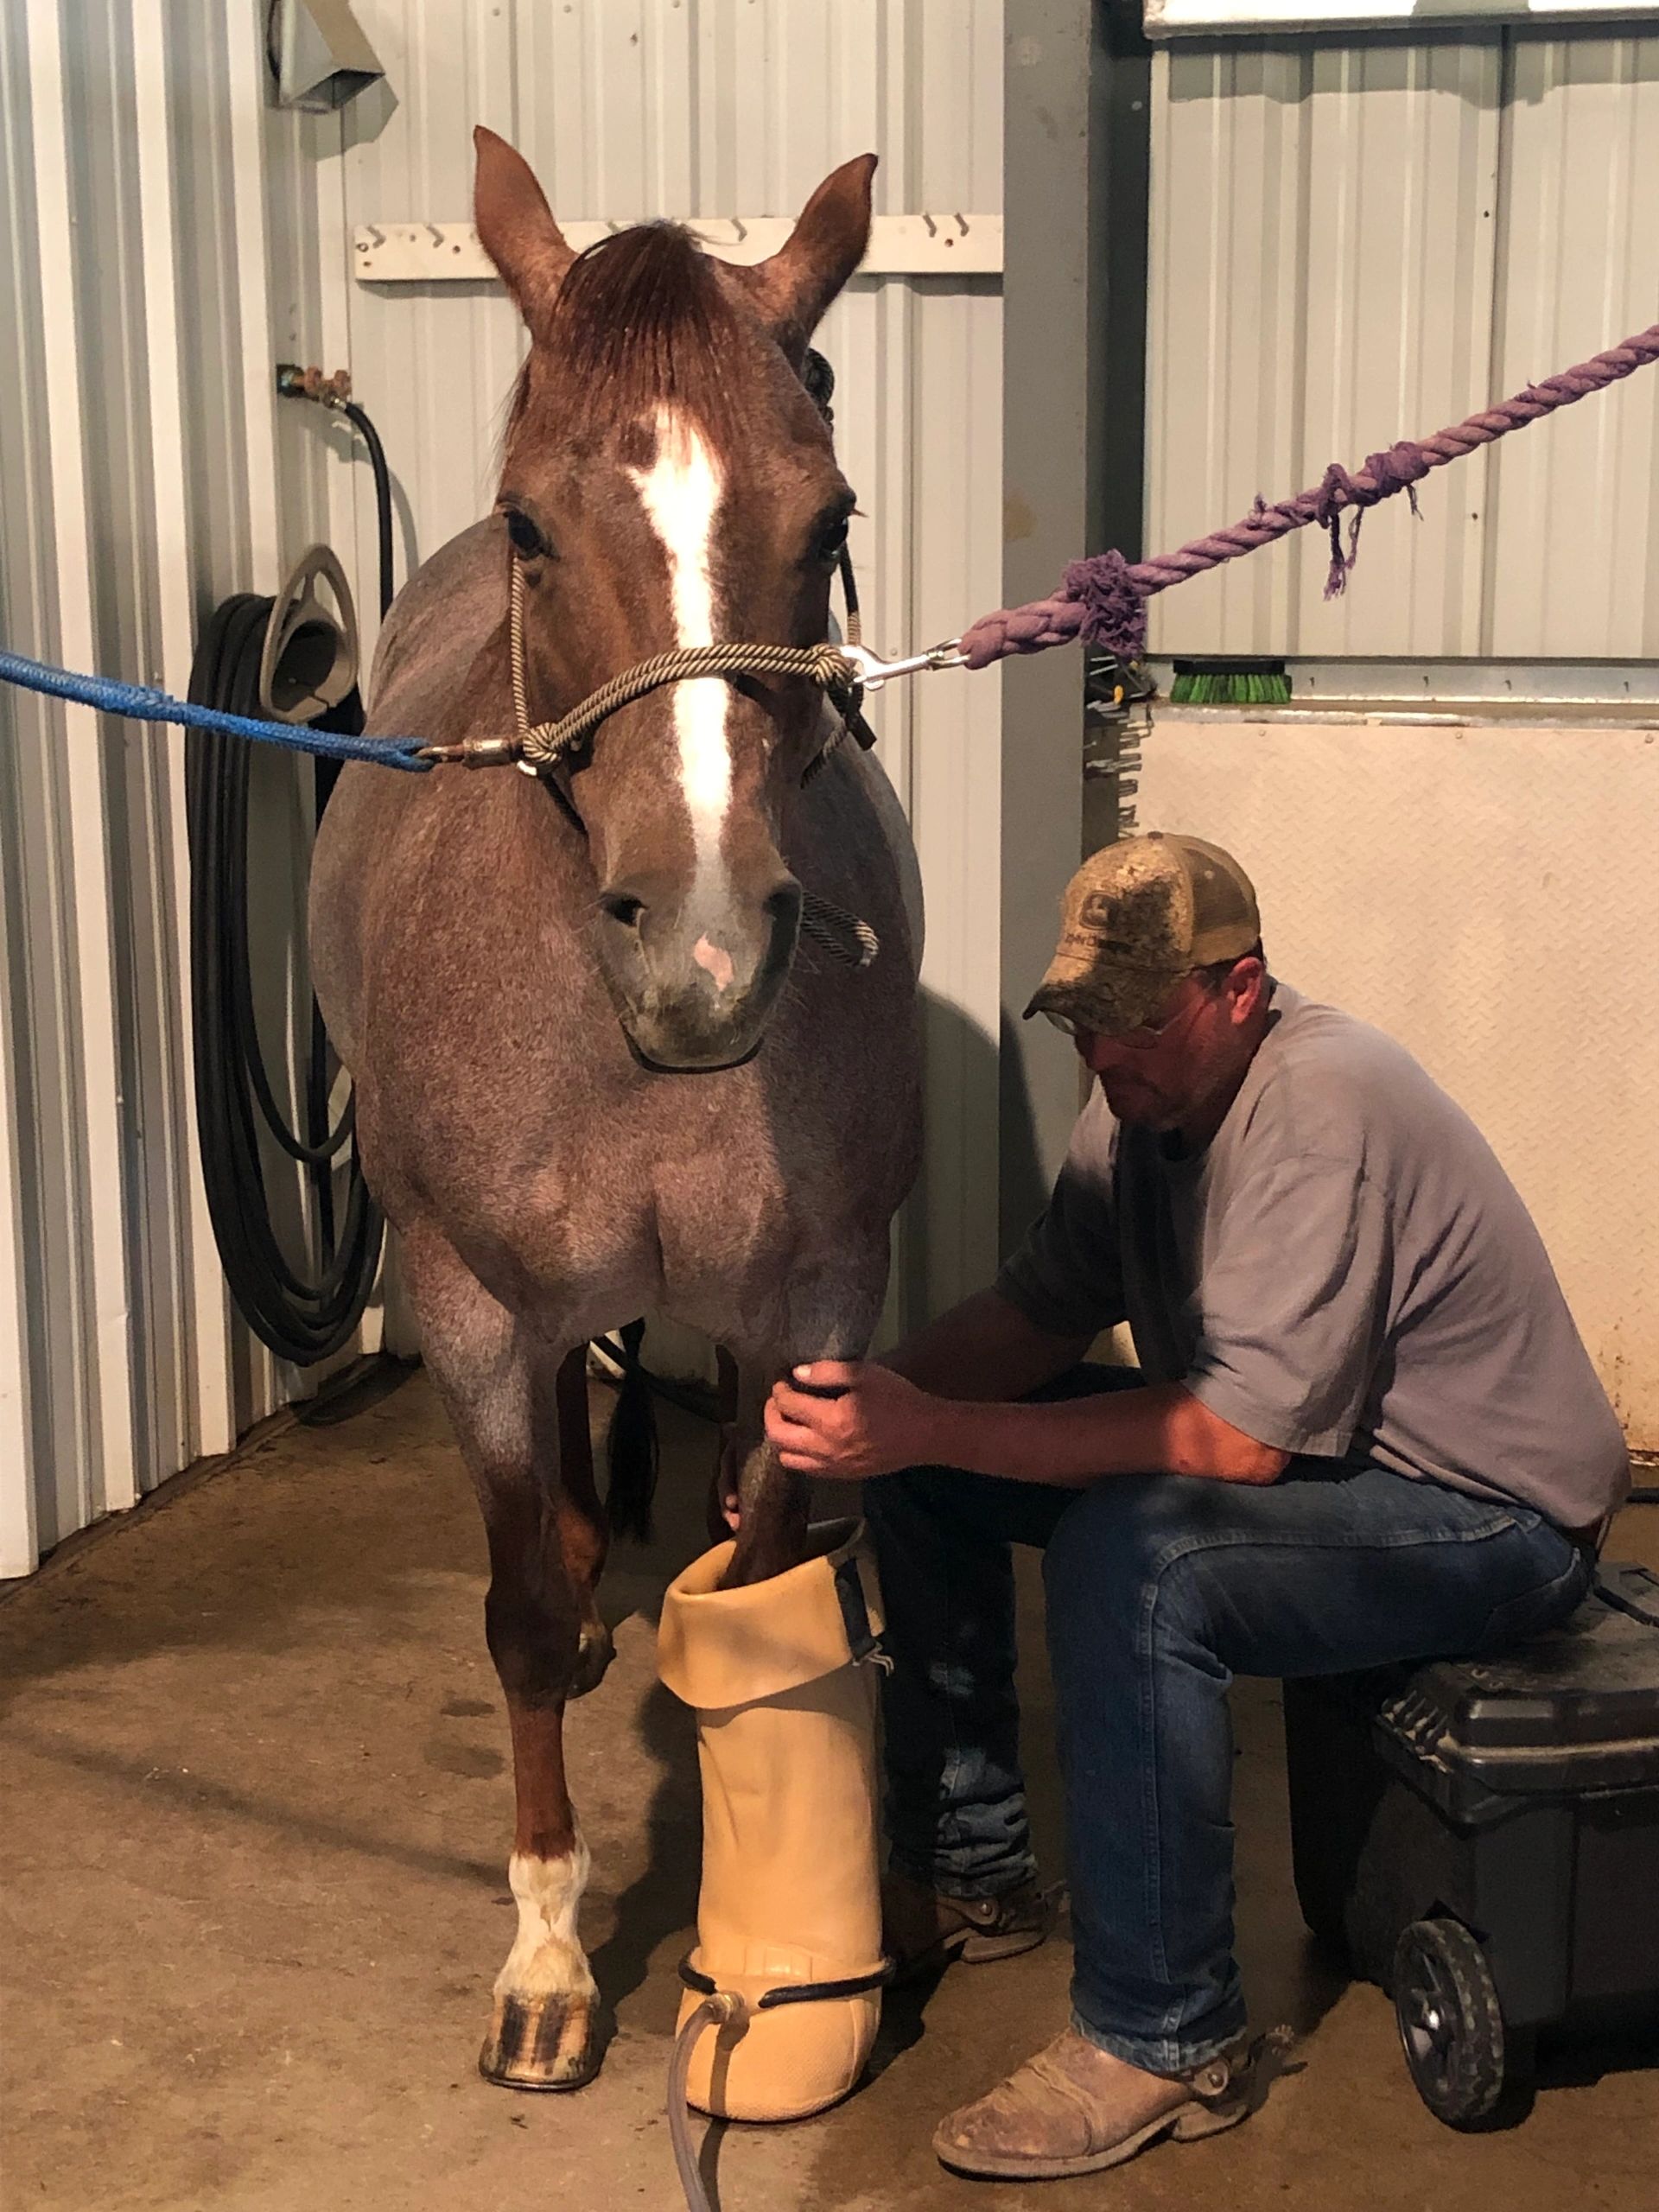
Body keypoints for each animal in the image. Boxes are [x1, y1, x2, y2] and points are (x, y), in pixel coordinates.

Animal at [309, 129, 929, 2096]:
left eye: (831, 523)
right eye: (532, 525)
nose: (705, 949)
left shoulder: (813, 1300)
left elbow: (762, 1580)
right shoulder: (467, 1308)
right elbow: (513, 1611)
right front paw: (548, 1958)